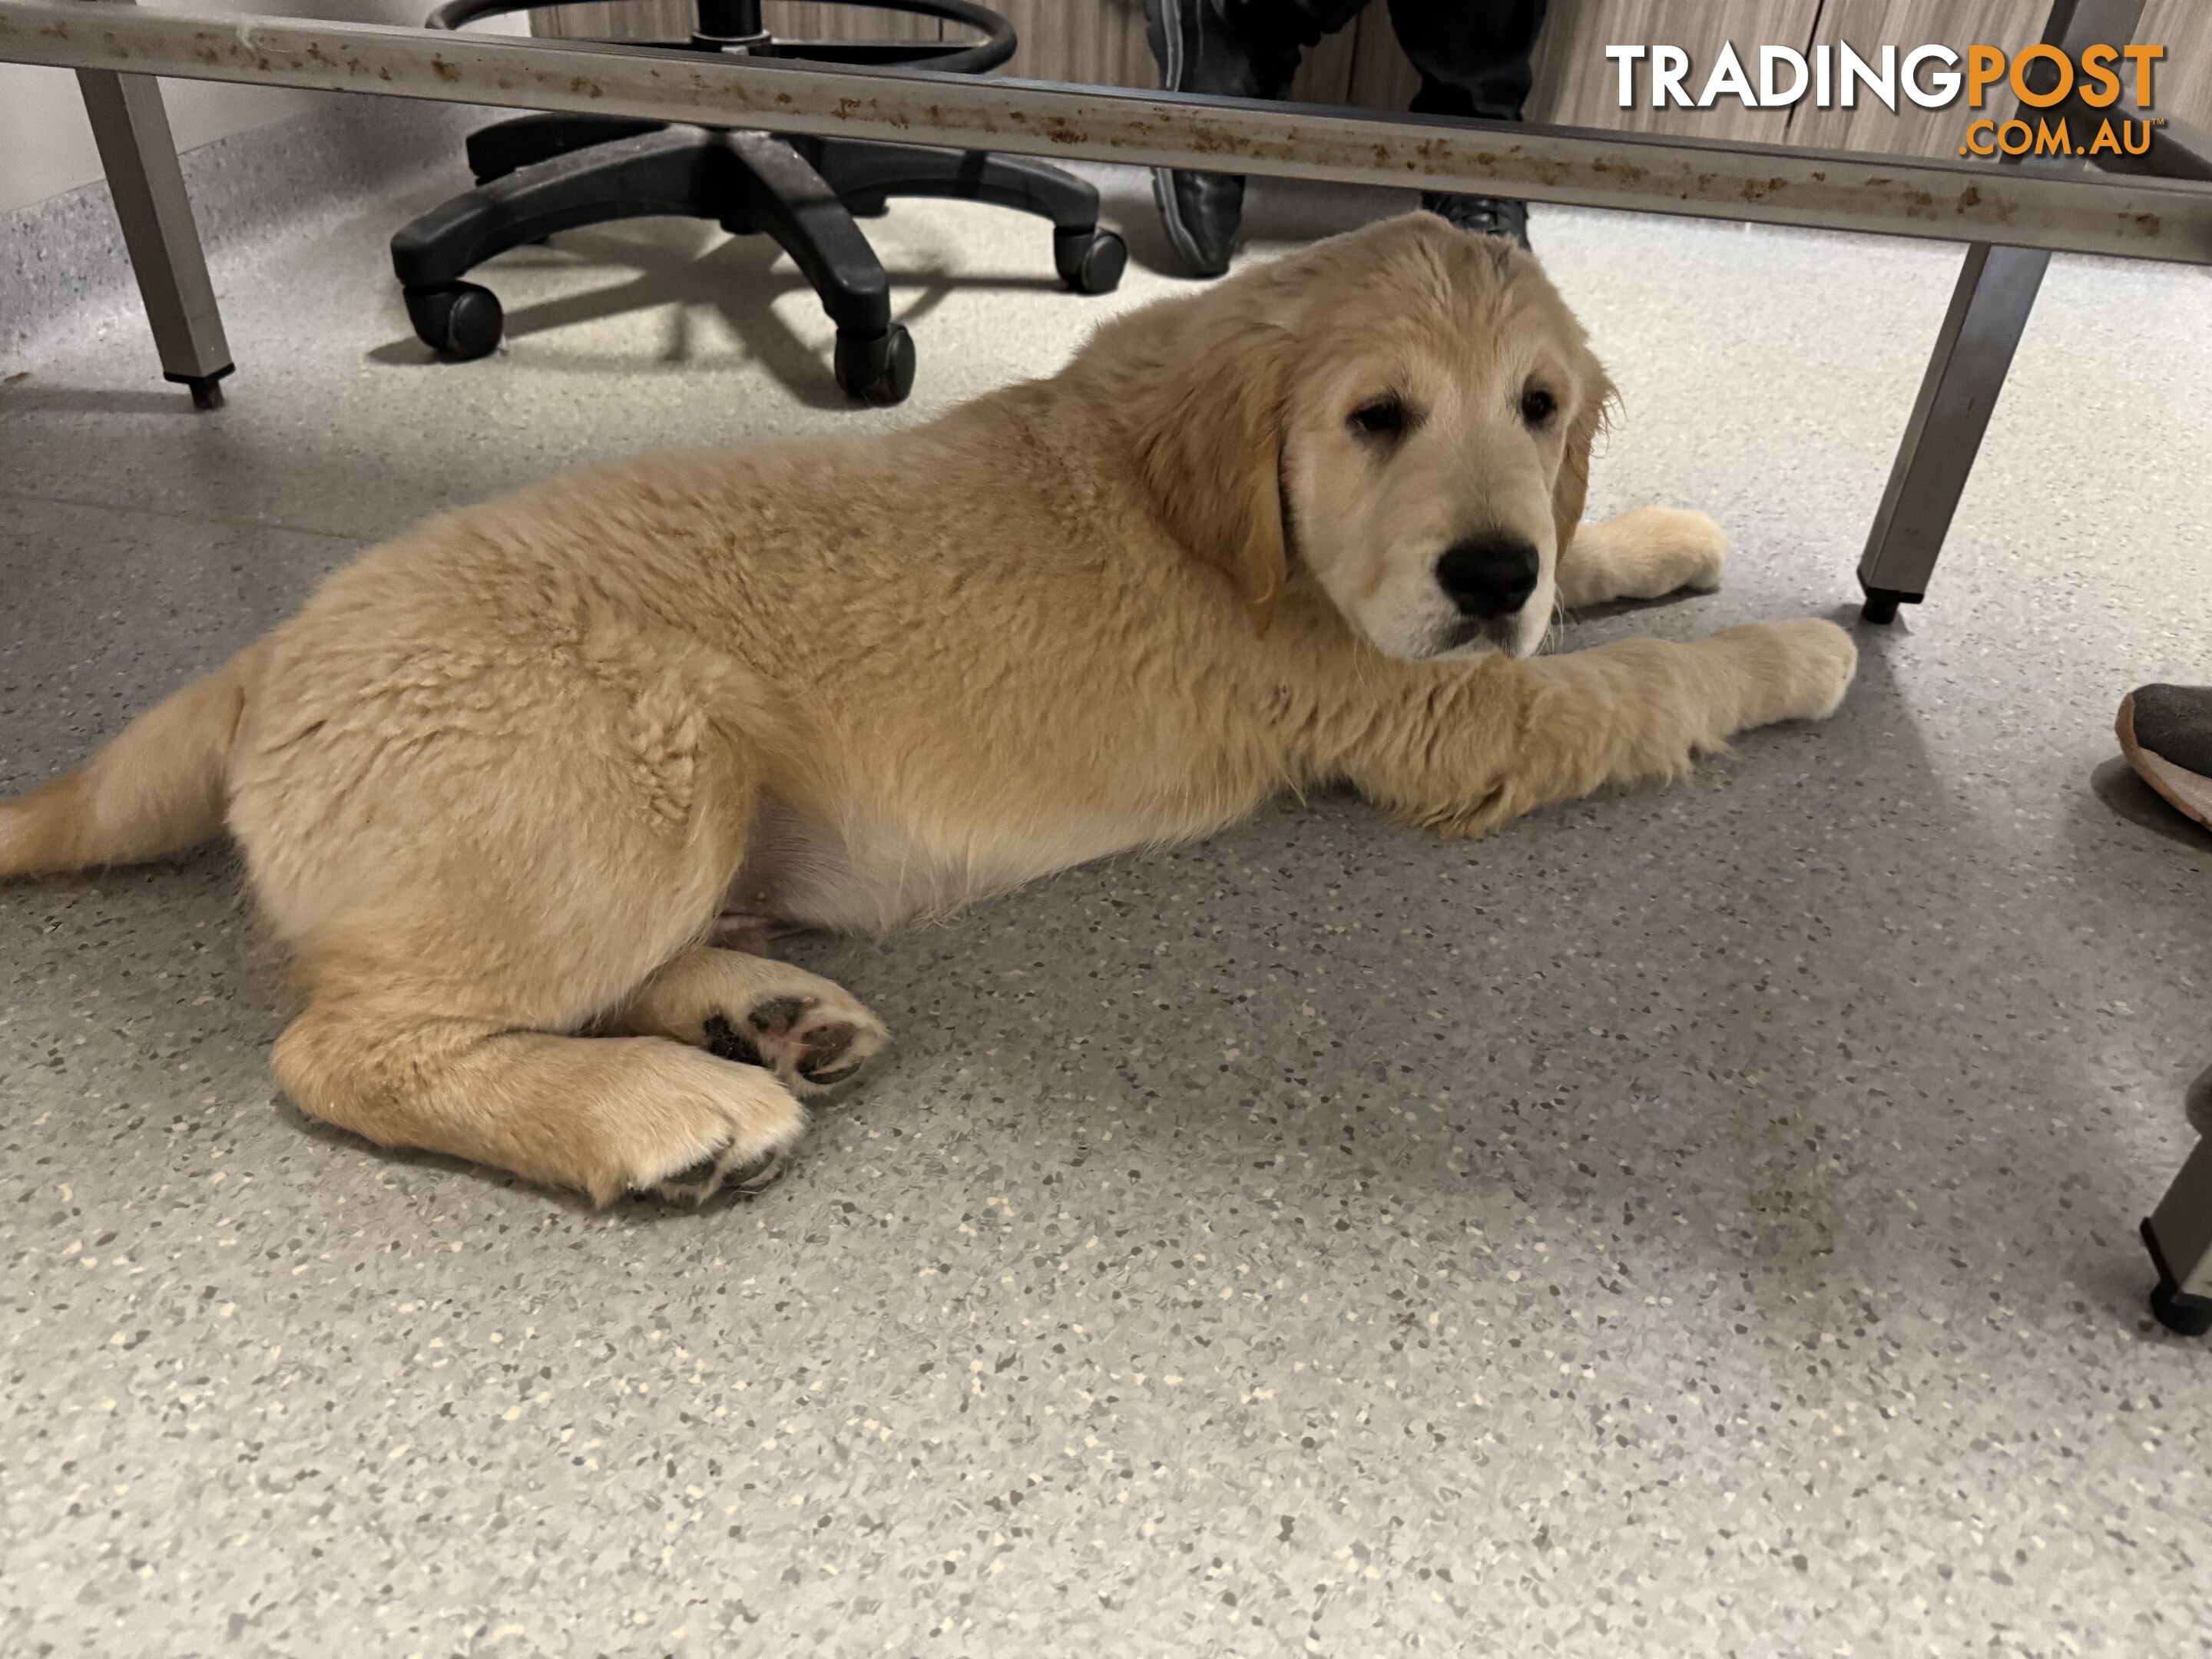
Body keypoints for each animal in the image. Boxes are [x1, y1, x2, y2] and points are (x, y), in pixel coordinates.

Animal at [4, 217, 1849, 1212]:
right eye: (1376, 417)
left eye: (1538, 406)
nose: (1486, 568)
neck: (1212, 501)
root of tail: (267, 653)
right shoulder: (1439, 723)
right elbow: (1642, 684)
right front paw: (1802, 651)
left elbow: (1586, 590)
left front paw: (1654, 539)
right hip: (648, 754)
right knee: (351, 1045)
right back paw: (662, 1110)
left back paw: (764, 1016)